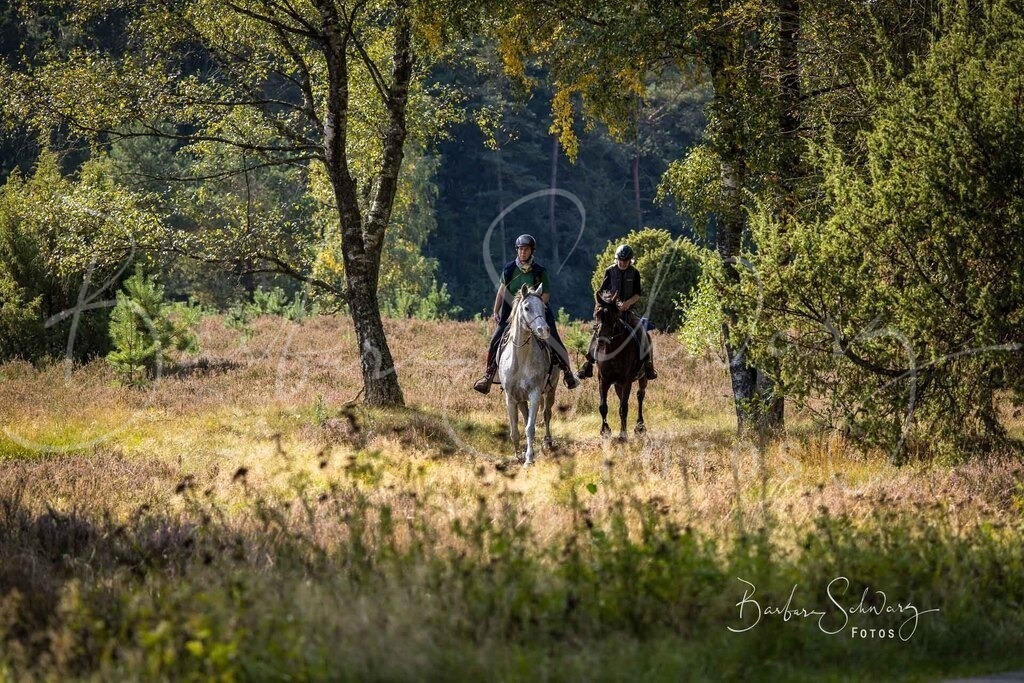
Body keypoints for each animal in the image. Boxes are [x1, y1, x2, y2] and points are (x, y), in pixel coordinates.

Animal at [497, 283, 559, 465]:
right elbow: (515, 430)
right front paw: (518, 455)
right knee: (525, 417)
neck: (521, 359)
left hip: (550, 390)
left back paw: (548, 442)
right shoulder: (510, 397)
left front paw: (529, 458)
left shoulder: (535, 393)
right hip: (521, 398)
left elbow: (530, 427)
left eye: (544, 308)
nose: (544, 330)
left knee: (546, 414)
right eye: (526, 307)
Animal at [594, 290, 647, 440]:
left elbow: (624, 407)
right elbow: (603, 406)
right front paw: (605, 430)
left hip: (643, 378)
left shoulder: (627, 381)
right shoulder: (603, 380)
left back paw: (640, 427)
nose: (601, 340)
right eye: (596, 314)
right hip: (617, 385)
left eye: (612, 316)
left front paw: (623, 434)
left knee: (640, 396)